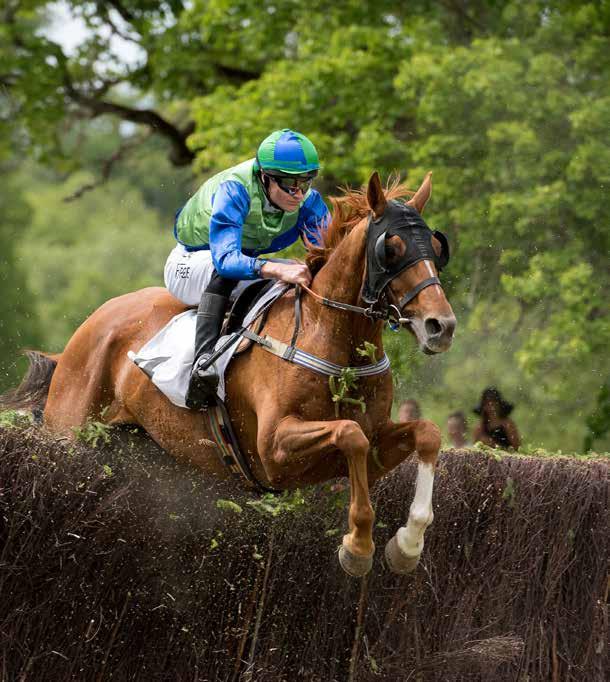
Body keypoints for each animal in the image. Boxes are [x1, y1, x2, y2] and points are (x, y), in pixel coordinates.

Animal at [2, 171, 454, 572]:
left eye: (435, 246)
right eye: (390, 248)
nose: (441, 326)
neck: (327, 334)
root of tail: (87, 328)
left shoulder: (373, 443)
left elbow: (425, 433)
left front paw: (407, 545)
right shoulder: (274, 450)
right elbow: (350, 434)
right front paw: (358, 547)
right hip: (69, 430)